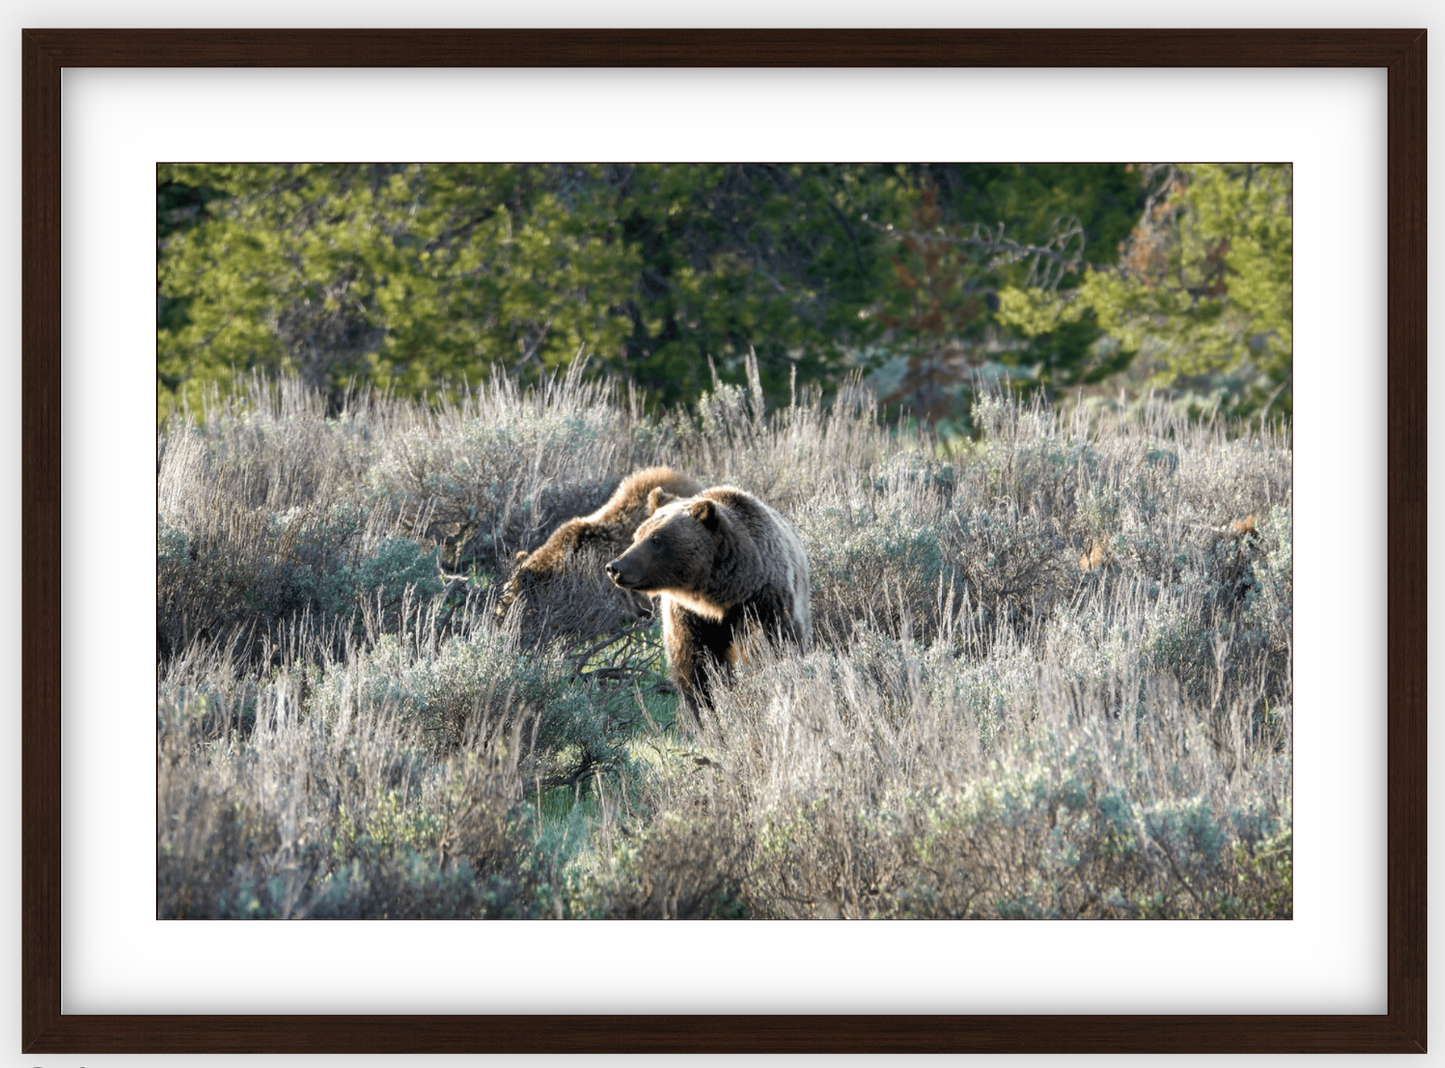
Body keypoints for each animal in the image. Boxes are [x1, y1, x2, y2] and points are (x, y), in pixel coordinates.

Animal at [604, 485, 814, 719]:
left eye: (656, 539)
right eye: (637, 535)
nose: (615, 567)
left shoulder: (761, 601)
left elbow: (770, 645)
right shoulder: (687, 615)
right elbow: (694, 666)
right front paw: (704, 709)